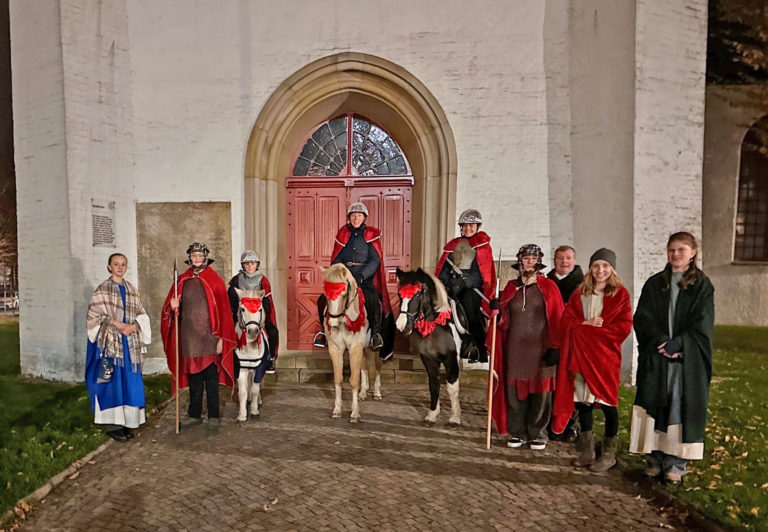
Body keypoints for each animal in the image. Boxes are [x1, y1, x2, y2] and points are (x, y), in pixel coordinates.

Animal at [234, 288, 270, 422]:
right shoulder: (241, 369)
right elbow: (243, 392)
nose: (253, 331)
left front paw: (254, 410)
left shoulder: (259, 368)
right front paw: (242, 415)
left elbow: (255, 389)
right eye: (243, 309)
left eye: (260, 309)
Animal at [396, 268, 462, 426]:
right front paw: (432, 414)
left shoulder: (451, 359)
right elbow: (433, 384)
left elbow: (452, 387)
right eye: (399, 294)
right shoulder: (429, 359)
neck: (435, 326)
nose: (401, 326)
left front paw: (454, 417)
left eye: (418, 294)